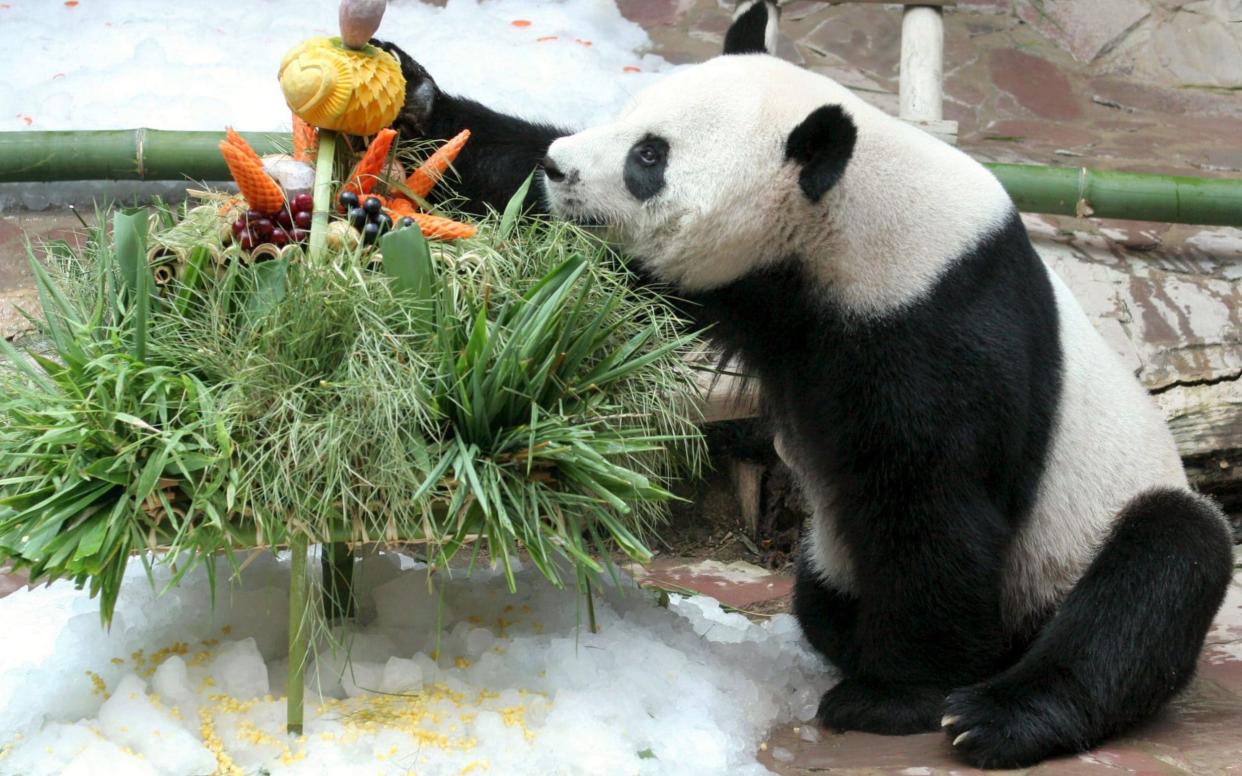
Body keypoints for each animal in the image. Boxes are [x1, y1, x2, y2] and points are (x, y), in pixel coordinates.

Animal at [375, 4, 1232, 769]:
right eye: (629, 117)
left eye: (649, 157)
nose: (565, 167)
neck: (850, 219)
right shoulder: (761, 297)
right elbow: (515, 186)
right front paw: (418, 98)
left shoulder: (939, 319)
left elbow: (935, 503)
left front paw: (896, 695)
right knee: (821, 594)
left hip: (1079, 537)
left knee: (1159, 569)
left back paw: (997, 715)